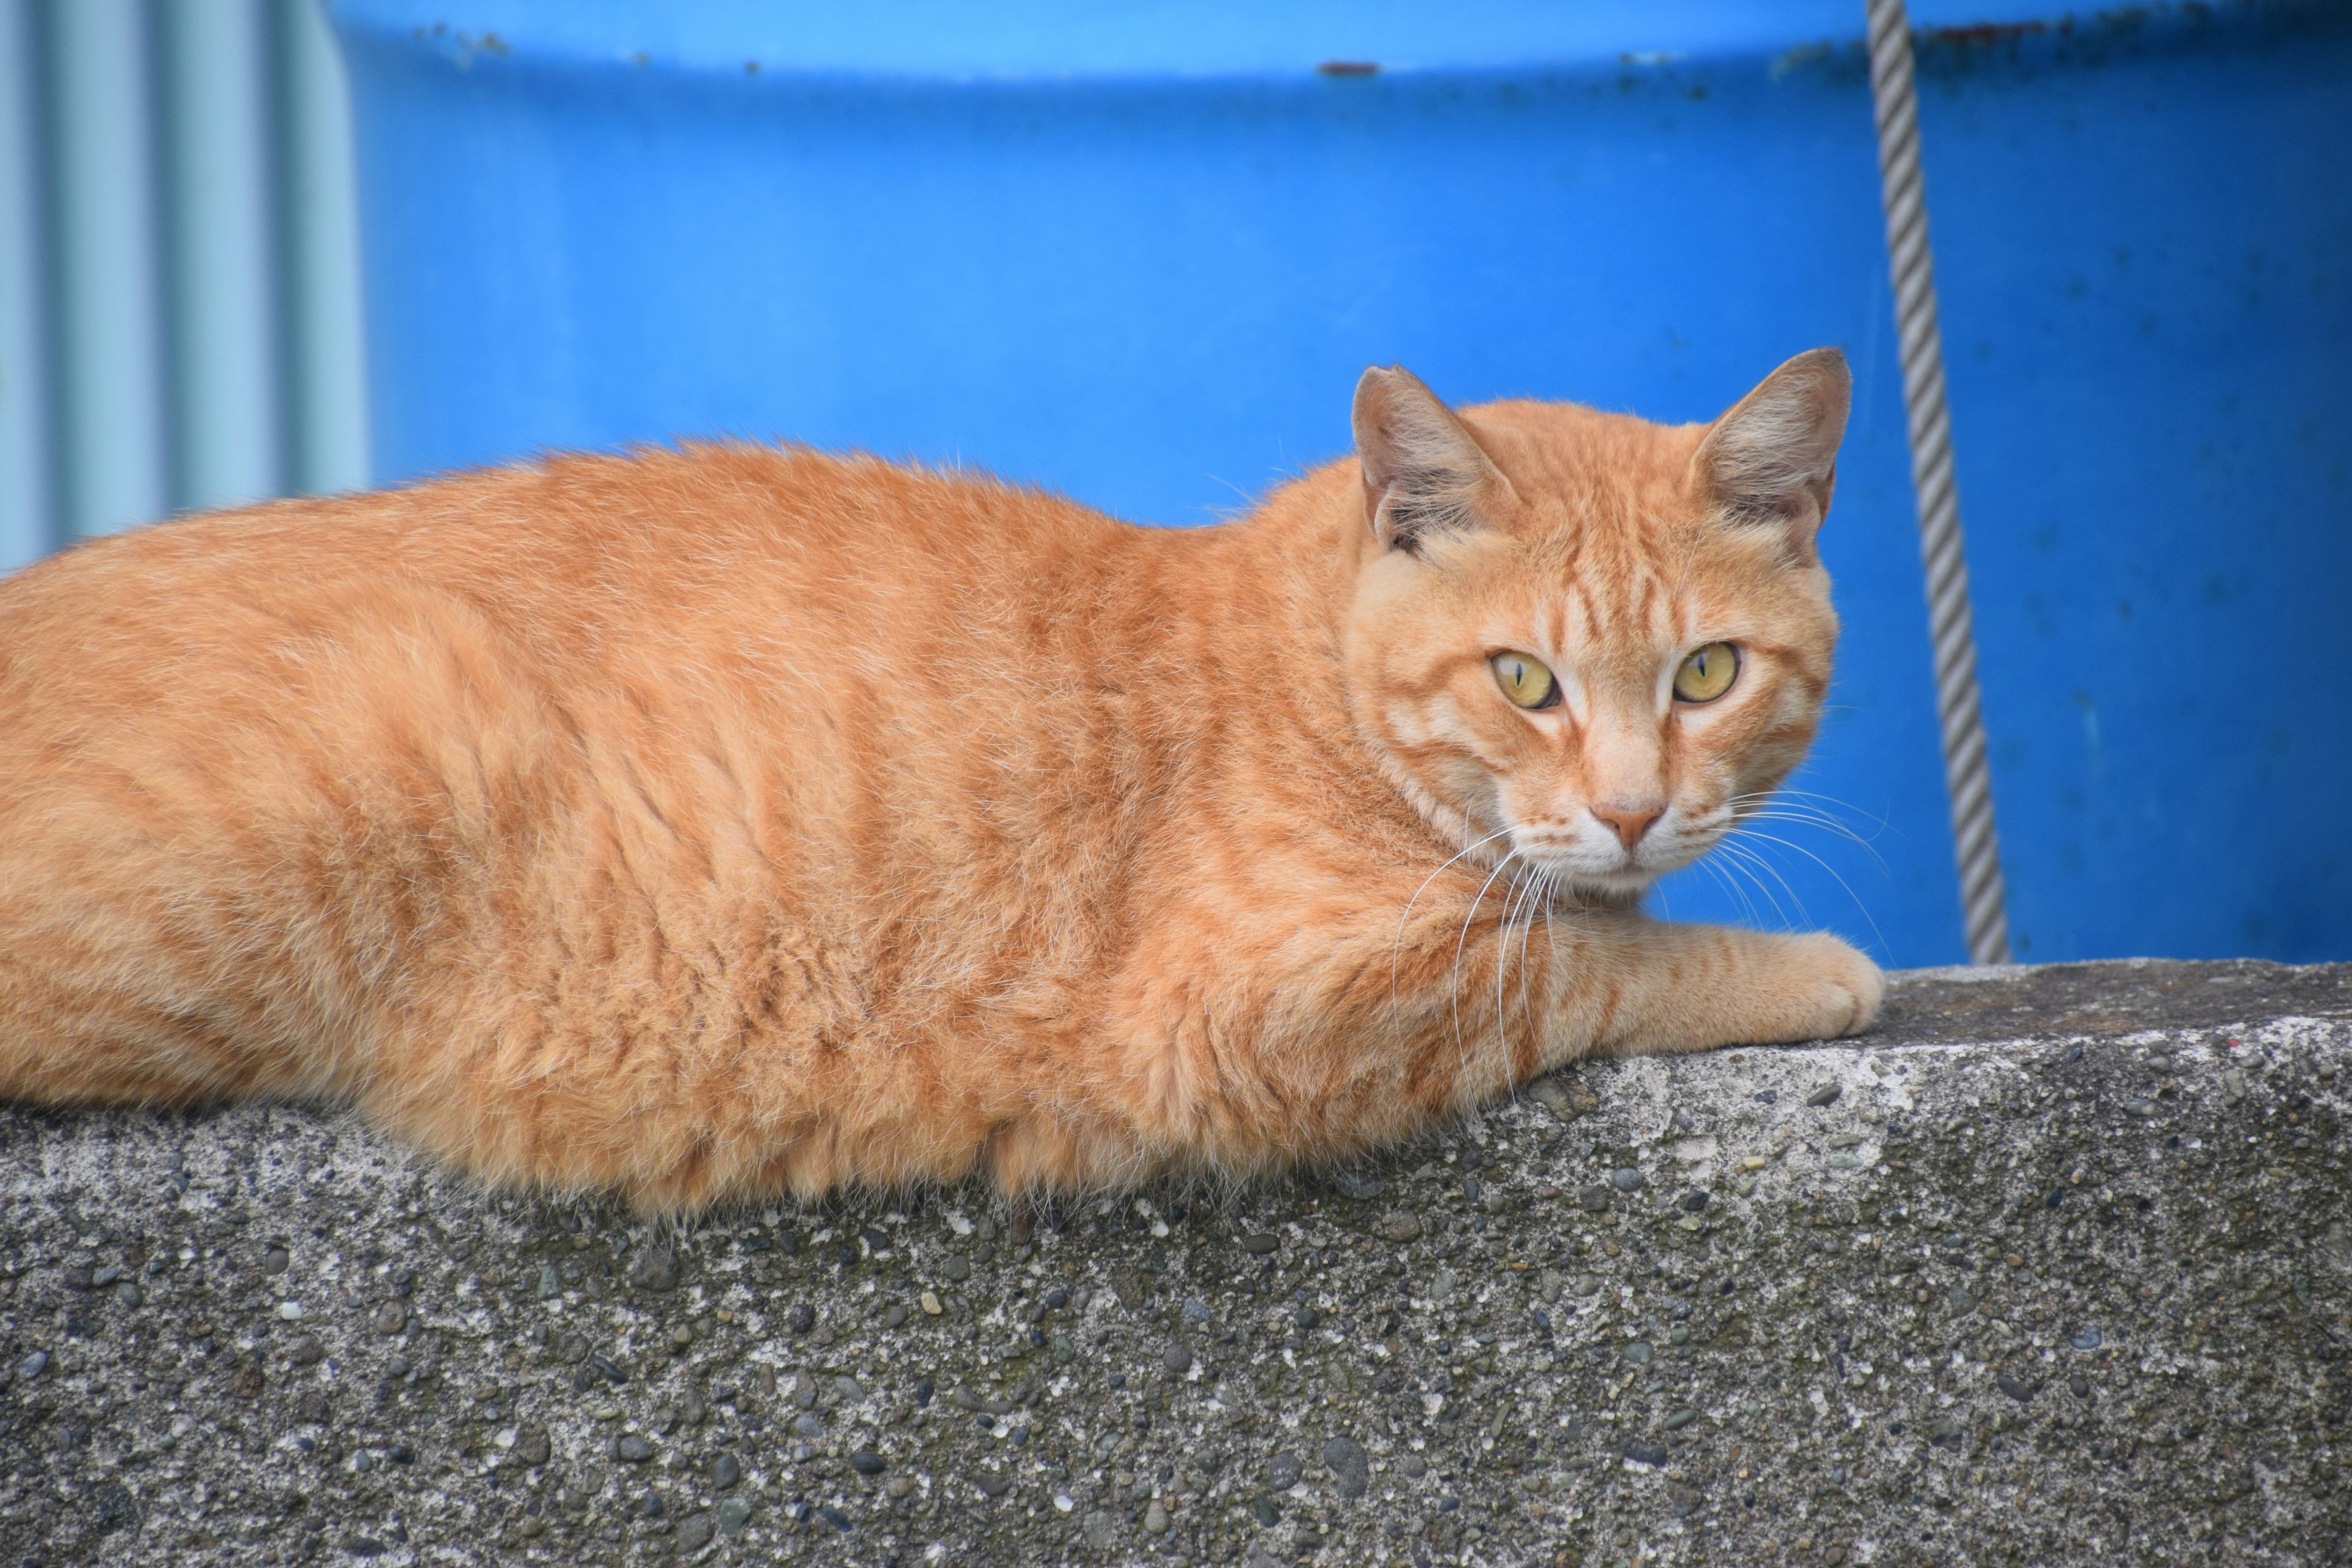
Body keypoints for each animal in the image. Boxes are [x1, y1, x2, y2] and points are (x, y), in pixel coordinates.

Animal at [0, 352, 1872, 1213]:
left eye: (1705, 675)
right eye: (1522, 681)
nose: (1630, 805)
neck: (1294, 664)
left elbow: (1591, 924)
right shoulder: (1259, 1007)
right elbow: (1602, 955)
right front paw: (1806, 969)